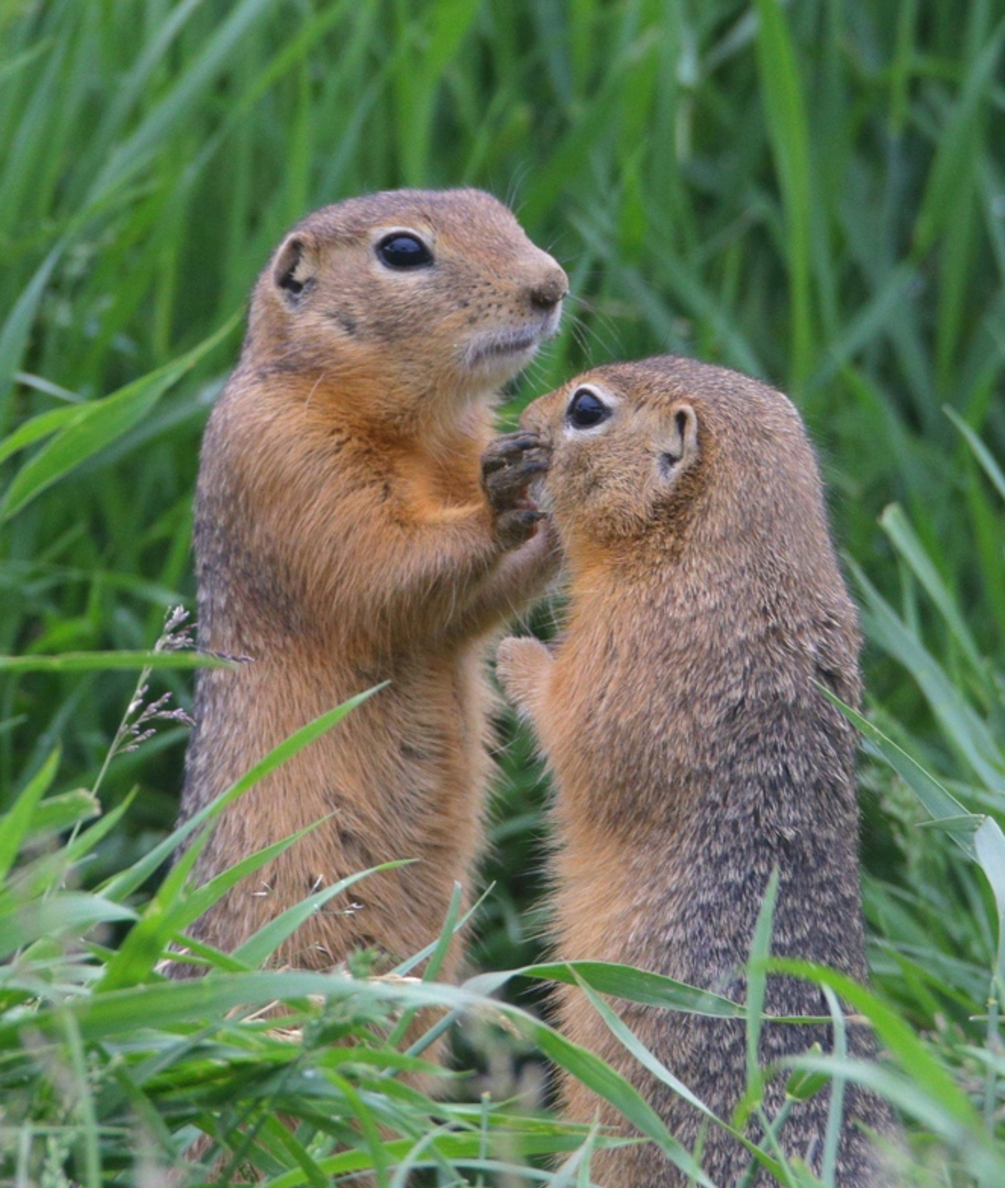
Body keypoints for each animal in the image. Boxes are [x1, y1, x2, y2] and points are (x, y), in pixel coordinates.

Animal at [173, 190, 565, 978]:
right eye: (402, 251)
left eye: (498, 211)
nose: (553, 286)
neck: (425, 433)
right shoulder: (287, 460)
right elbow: (378, 565)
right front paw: (502, 499)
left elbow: (463, 611)